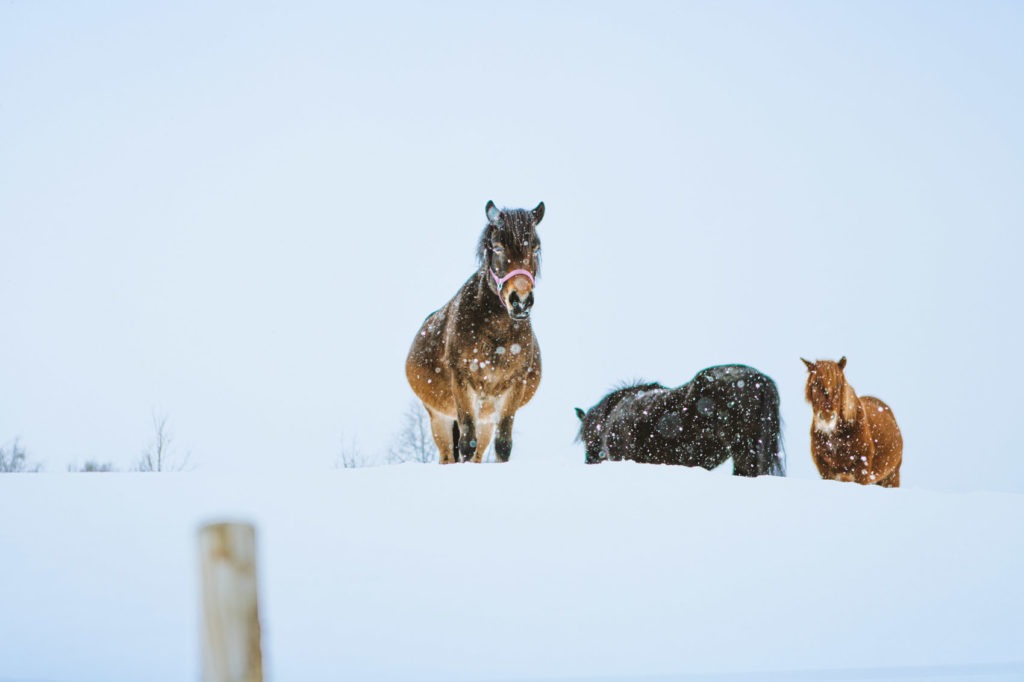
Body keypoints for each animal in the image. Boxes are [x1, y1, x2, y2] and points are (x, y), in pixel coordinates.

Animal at [403, 197, 544, 462]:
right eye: (497, 247)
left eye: (536, 247)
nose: (520, 300)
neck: (496, 334)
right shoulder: (462, 382)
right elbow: (466, 443)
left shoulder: (513, 387)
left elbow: (503, 445)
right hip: (439, 417)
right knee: (448, 455)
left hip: (486, 418)